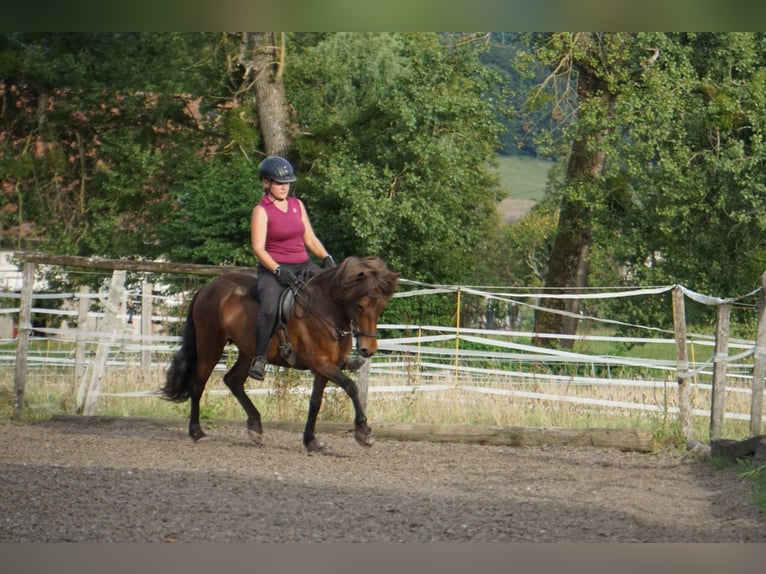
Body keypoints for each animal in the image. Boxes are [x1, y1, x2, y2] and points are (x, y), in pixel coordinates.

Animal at [162, 258, 402, 454]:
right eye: (360, 306)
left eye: (381, 307)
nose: (368, 350)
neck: (326, 310)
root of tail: (208, 287)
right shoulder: (321, 363)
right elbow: (351, 387)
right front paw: (364, 432)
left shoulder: (324, 367)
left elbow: (315, 402)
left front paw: (311, 441)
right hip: (211, 345)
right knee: (198, 384)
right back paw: (197, 432)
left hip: (248, 352)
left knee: (233, 380)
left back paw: (256, 428)